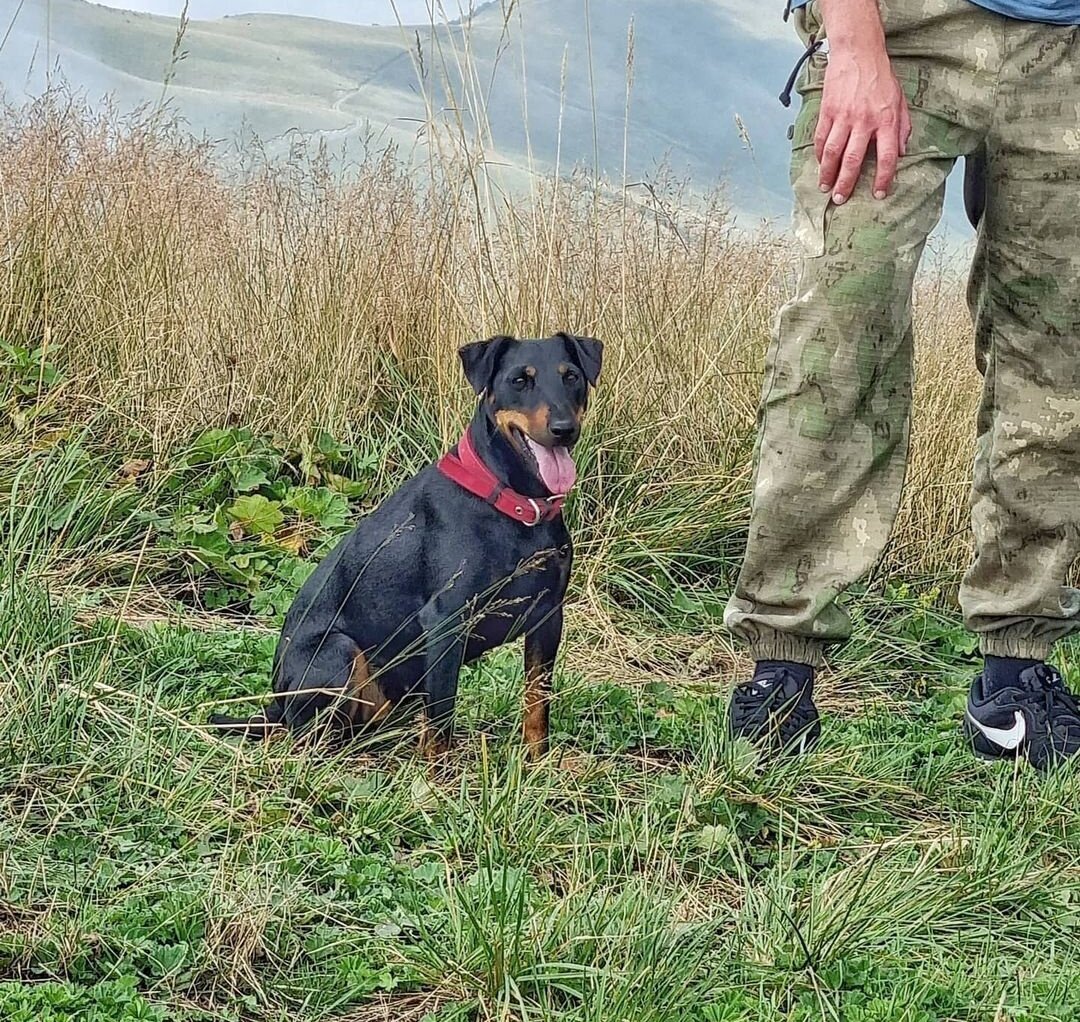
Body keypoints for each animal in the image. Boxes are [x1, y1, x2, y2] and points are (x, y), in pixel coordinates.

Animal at [208, 330, 600, 751]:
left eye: (572, 376)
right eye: (520, 380)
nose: (564, 428)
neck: (515, 503)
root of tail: (275, 705)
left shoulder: (548, 616)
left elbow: (537, 708)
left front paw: (536, 763)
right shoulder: (446, 621)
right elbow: (442, 722)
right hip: (337, 653)